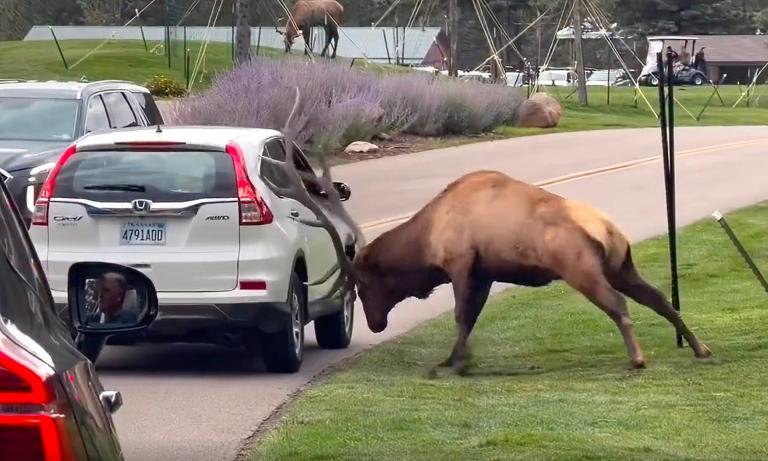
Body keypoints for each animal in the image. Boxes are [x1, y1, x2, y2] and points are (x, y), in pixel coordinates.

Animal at [351, 171, 712, 374]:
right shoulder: (484, 274)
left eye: (362, 284)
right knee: (660, 298)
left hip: (580, 269)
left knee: (618, 304)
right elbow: (469, 318)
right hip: (621, 267)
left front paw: (461, 363)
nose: (375, 324)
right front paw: (453, 359)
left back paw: (637, 358)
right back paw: (700, 348)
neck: (426, 242)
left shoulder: (461, 264)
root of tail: (610, 230)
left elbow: (460, 315)